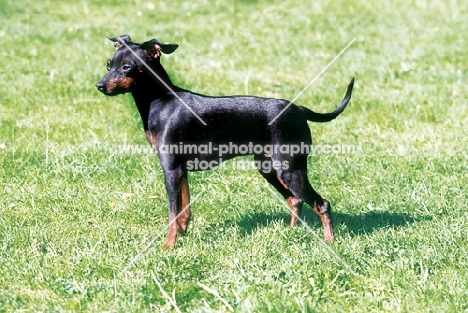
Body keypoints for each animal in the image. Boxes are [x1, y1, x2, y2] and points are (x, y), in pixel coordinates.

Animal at [97, 34, 352, 247]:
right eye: (109, 65)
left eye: (127, 67)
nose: (99, 85)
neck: (162, 101)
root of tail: (298, 109)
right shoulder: (180, 169)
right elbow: (184, 209)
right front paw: (183, 233)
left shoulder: (170, 169)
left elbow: (172, 213)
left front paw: (169, 244)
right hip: (269, 168)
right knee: (295, 199)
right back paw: (292, 232)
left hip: (289, 168)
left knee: (321, 203)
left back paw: (330, 241)